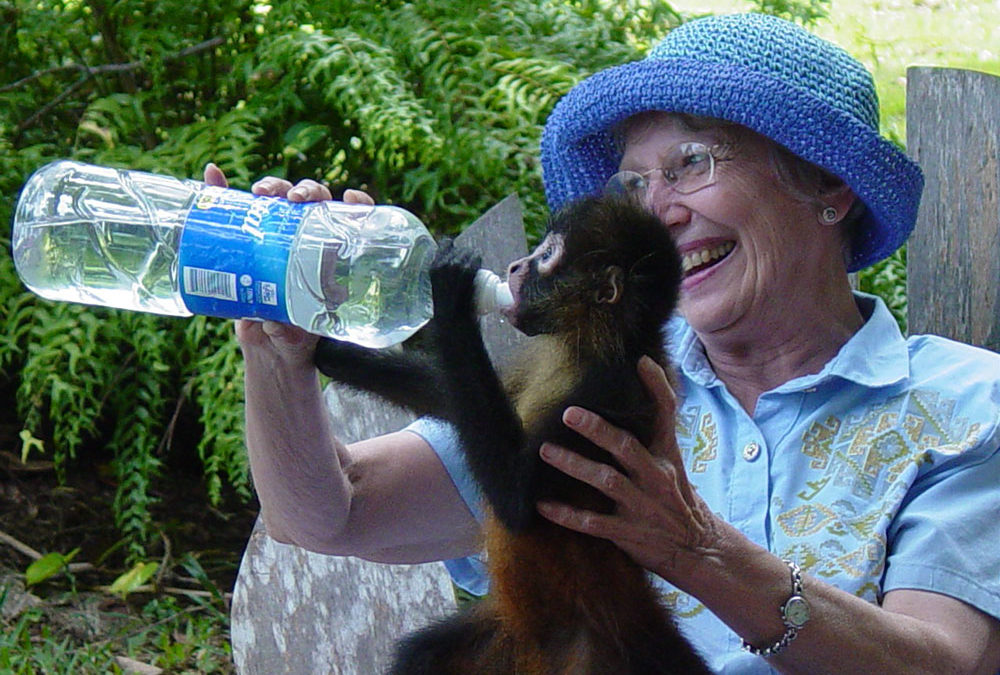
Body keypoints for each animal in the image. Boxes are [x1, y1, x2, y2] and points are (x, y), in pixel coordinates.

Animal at [313, 195, 711, 674]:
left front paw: (450, 294)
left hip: (594, 655)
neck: (586, 349)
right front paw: (324, 346)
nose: (517, 266)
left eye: (547, 255)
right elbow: (444, 397)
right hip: (506, 639)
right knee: (423, 655)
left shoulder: (609, 390)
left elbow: (518, 502)